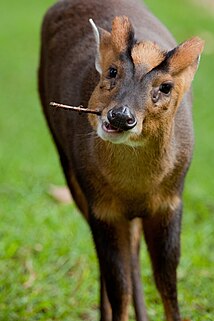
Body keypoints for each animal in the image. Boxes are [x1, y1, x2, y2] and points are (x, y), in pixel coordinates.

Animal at [38, 0, 204, 320]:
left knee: (134, 251)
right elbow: (119, 287)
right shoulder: (102, 208)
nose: (120, 116)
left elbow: (168, 285)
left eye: (166, 87)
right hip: (69, 170)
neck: (134, 187)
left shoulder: (171, 201)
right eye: (112, 71)